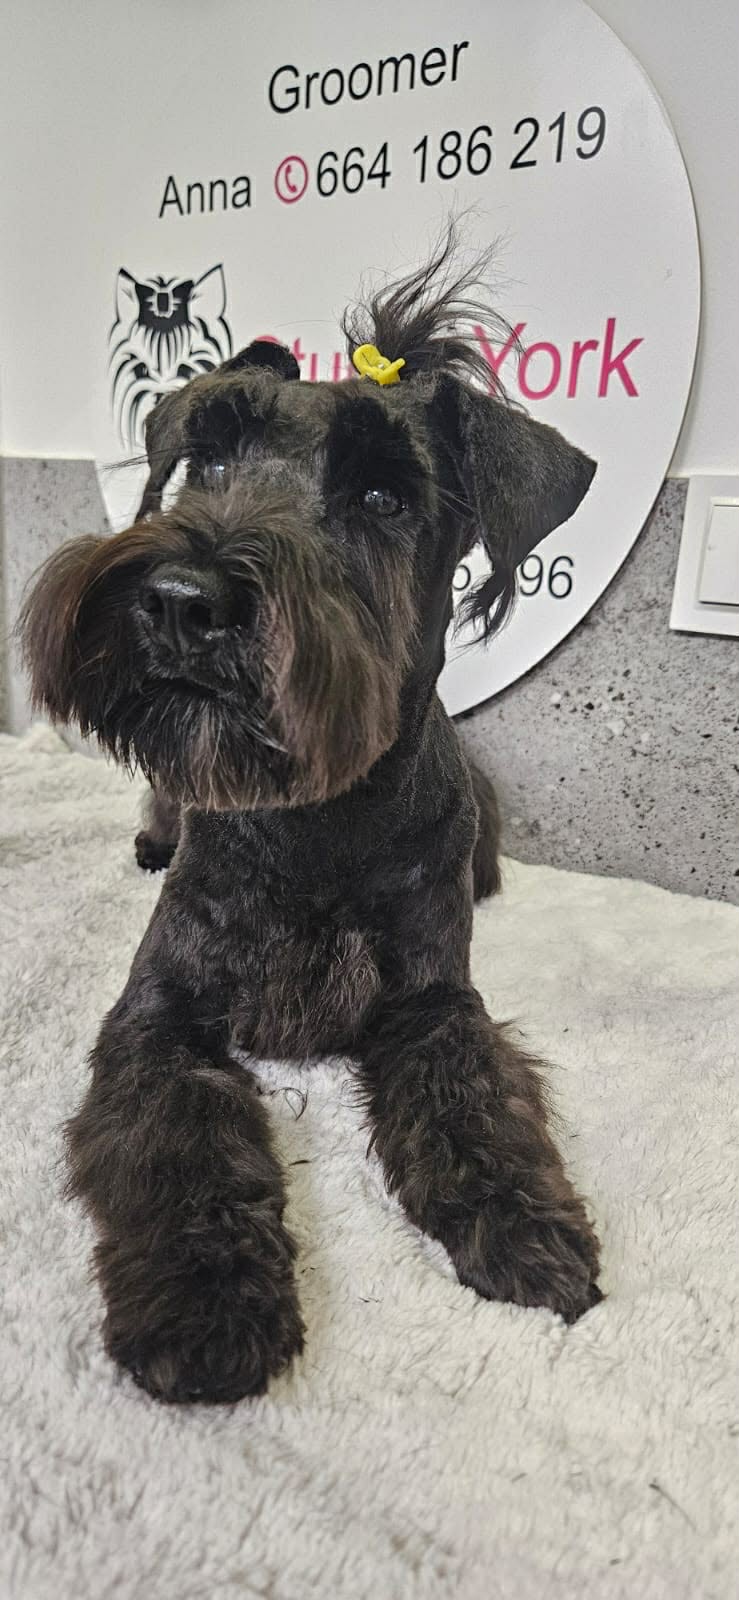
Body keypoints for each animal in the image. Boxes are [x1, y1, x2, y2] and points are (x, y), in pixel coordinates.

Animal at [20, 231, 601, 1403]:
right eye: (208, 458)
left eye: (384, 497)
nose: (181, 601)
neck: (314, 821)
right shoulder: (157, 1013)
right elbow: (182, 1140)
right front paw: (205, 1301)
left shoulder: (432, 998)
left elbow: (474, 1099)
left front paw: (524, 1221)